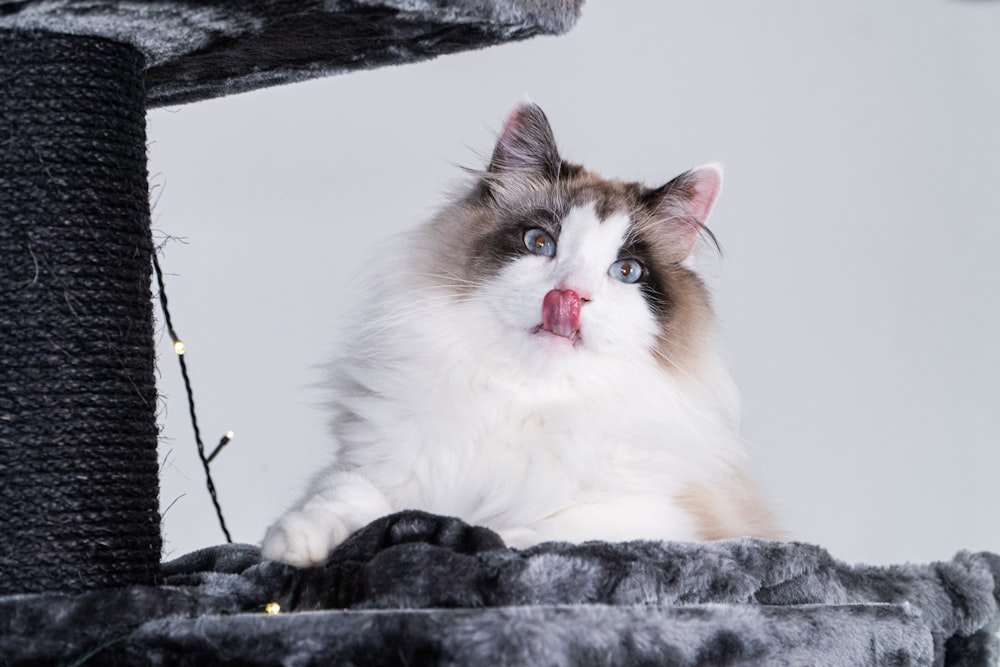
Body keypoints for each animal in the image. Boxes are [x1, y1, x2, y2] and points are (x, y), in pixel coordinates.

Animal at [262, 104, 776, 568]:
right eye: (539, 244)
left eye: (626, 271)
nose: (568, 296)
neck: (523, 398)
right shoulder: (367, 467)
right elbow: (341, 498)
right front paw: (294, 546)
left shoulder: (660, 517)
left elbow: (532, 533)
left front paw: (465, 540)